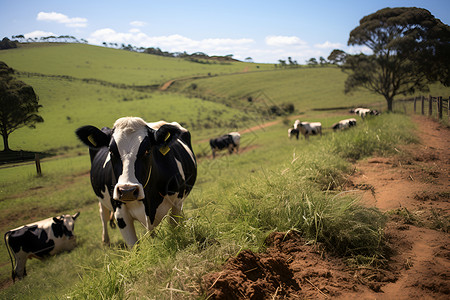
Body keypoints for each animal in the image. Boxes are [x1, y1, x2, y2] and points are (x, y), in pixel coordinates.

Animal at [76, 118, 197, 248]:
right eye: (111, 151)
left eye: (147, 150)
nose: (127, 191)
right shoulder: (120, 214)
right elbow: (134, 246)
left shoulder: (176, 203)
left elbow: (175, 231)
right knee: (103, 213)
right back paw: (105, 240)